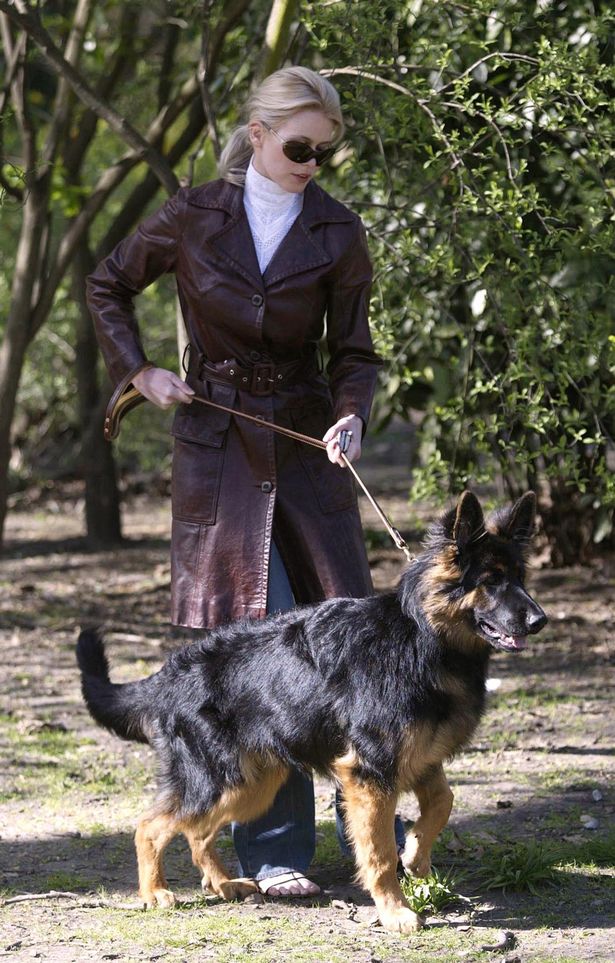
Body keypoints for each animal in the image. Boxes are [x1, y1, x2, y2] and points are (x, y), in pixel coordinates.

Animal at [78, 494, 548, 932]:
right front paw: (394, 911)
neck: (422, 636)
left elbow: (442, 802)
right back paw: (154, 892)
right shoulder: (370, 774)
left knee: (197, 831)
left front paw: (415, 853)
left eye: (520, 578)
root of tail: (169, 673)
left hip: (250, 786)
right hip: (218, 781)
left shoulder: (421, 758)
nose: (540, 620)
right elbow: (378, 853)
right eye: (490, 581)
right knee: (151, 826)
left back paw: (223, 883)